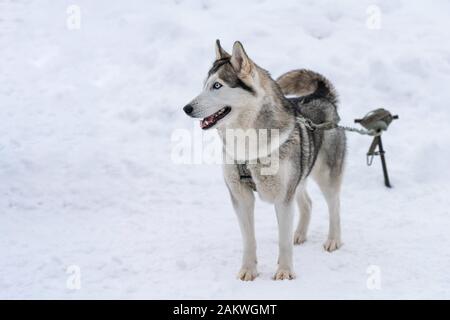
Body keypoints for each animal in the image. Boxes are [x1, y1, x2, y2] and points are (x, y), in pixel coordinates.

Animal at [183, 41, 344, 282]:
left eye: (217, 85)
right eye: (204, 85)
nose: (186, 108)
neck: (248, 146)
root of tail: (321, 95)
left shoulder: (283, 197)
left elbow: (283, 241)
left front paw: (284, 271)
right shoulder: (241, 197)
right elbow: (249, 240)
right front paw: (248, 270)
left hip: (325, 176)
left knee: (334, 206)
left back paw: (333, 240)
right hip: (299, 177)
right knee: (307, 203)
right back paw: (299, 234)